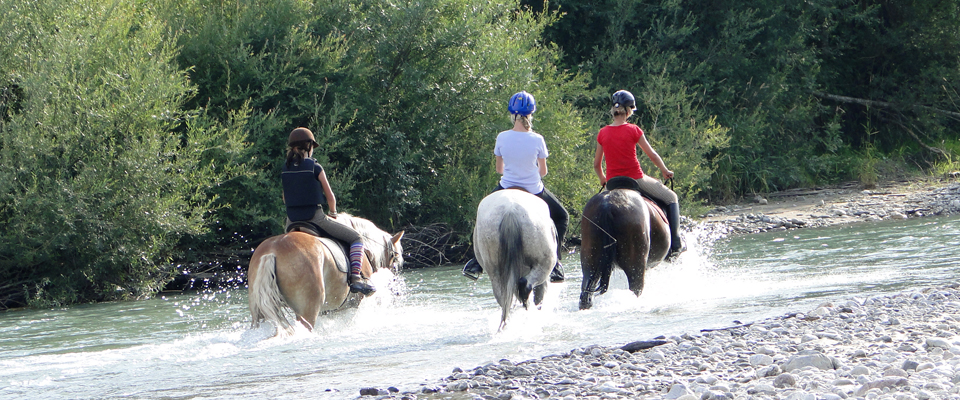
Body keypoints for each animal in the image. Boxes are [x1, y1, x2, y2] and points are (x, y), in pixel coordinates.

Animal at [247, 213, 404, 334]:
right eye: (394, 258)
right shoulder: (354, 304)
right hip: (308, 311)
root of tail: (271, 252)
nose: (396, 292)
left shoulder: (330, 310)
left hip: (259, 312)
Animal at [473, 189, 557, 330]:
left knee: (504, 298)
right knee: (526, 286)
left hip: (495, 272)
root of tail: (510, 211)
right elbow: (539, 296)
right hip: (544, 264)